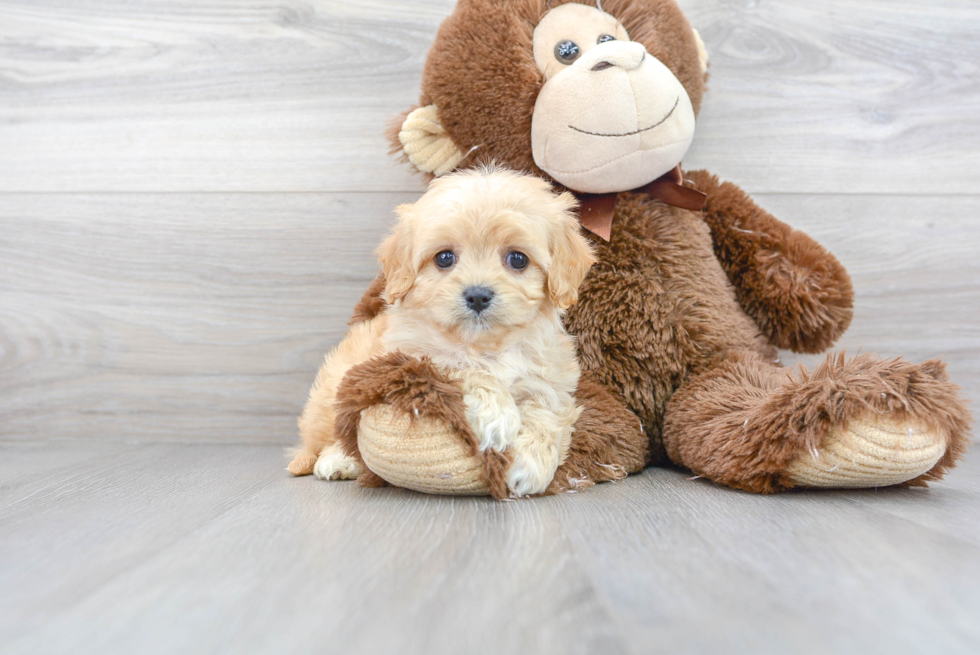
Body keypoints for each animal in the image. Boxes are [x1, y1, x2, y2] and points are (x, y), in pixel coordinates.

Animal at [288, 167, 592, 500]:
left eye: (518, 259)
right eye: (444, 258)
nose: (477, 296)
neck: (485, 346)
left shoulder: (551, 379)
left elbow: (546, 411)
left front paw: (530, 466)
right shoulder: (415, 357)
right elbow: (466, 368)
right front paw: (495, 418)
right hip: (332, 393)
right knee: (336, 433)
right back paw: (337, 460)